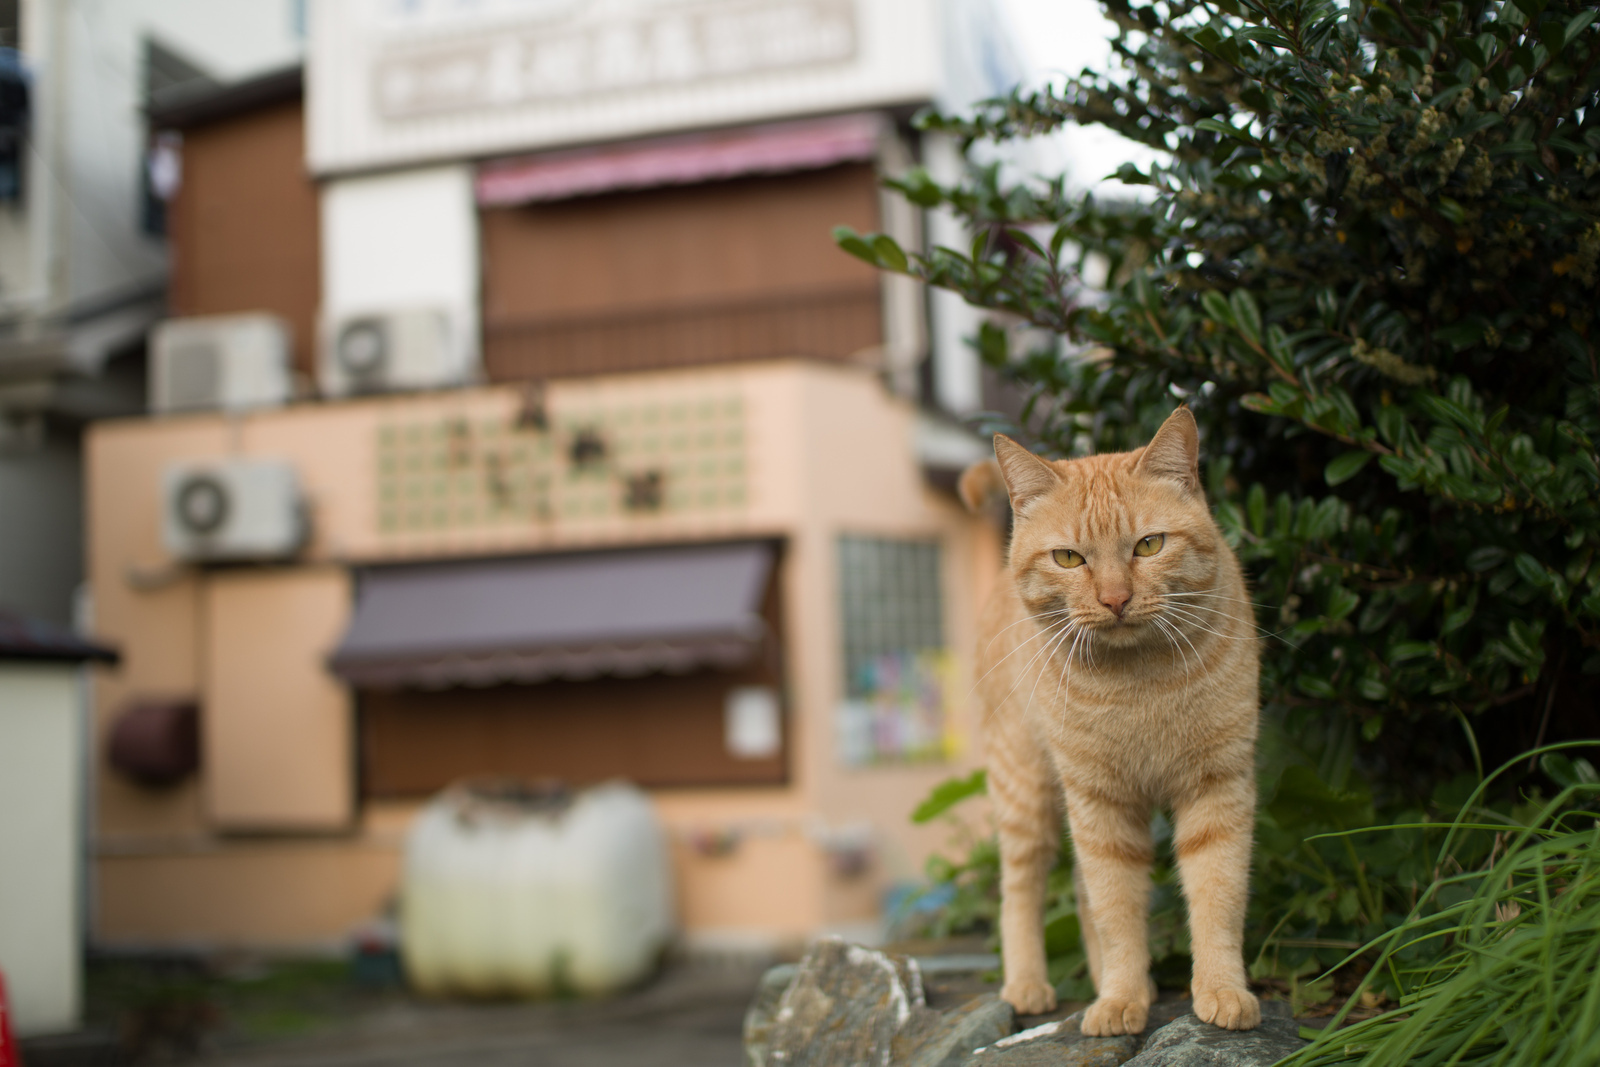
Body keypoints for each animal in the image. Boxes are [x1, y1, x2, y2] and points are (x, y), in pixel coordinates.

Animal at [960, 406, 1260, 1036]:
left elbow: (1217, 899)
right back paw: (1029, 986)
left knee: (1075, 890)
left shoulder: (1217, 791)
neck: (1140, 686)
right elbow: (1117, 911)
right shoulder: (1100, 805)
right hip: (1026, 793)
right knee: (1020, 890)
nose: (1115, 599)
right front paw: (1121, 999)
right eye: (1069, 558)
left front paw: (1220, 990)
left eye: (1149, 545)